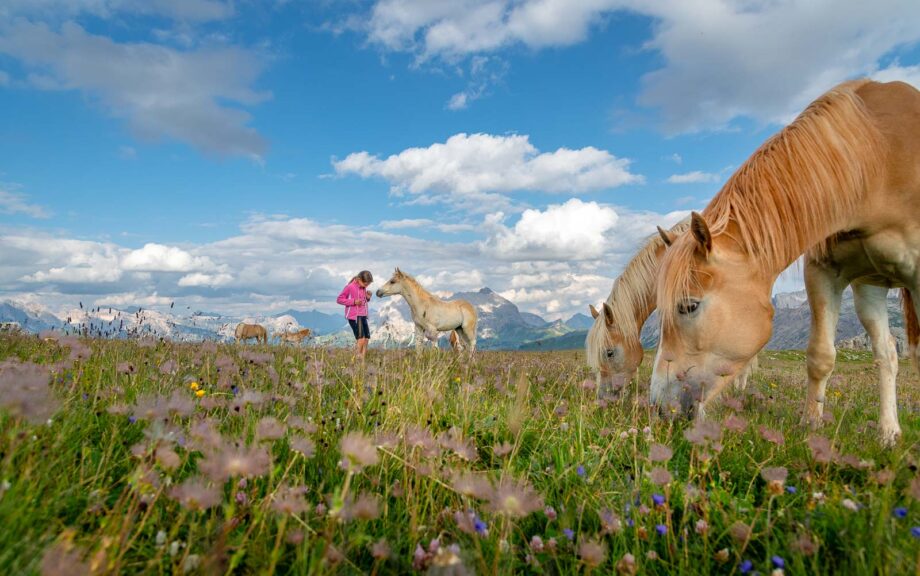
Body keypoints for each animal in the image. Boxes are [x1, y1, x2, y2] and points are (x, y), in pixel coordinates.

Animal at [652, 79, 916, 444]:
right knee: (887, 353)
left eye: (689, 306)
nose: (659, 408)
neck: (877, 156)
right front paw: (810, 426)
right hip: (869, 288)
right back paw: (888, 432)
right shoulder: (824, 272)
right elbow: (820, 355)